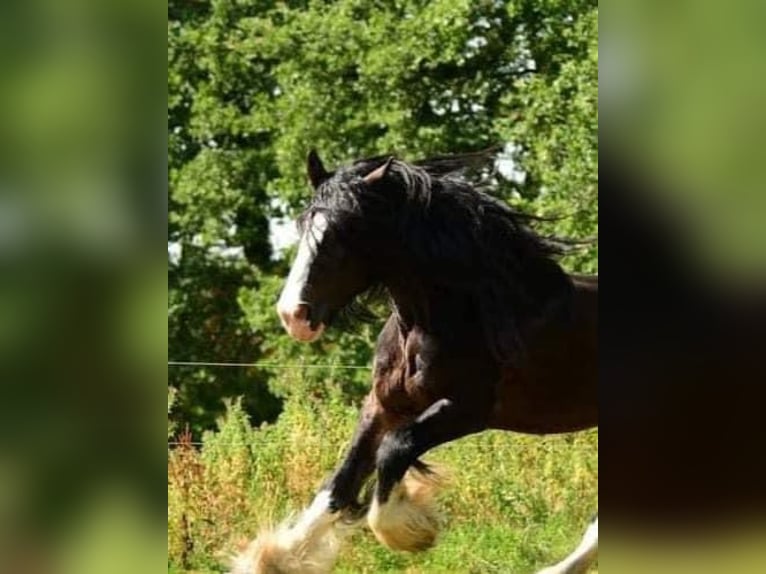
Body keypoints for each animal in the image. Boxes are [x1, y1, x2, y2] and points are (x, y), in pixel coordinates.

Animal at [232, 150, 598, 574]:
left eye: (344, 232)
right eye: (304, 224)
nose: (293, 316)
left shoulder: (466, 410)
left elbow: (394, 449)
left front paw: (412, 530)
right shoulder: (383, 404)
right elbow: (339, 482)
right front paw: (274, 557)